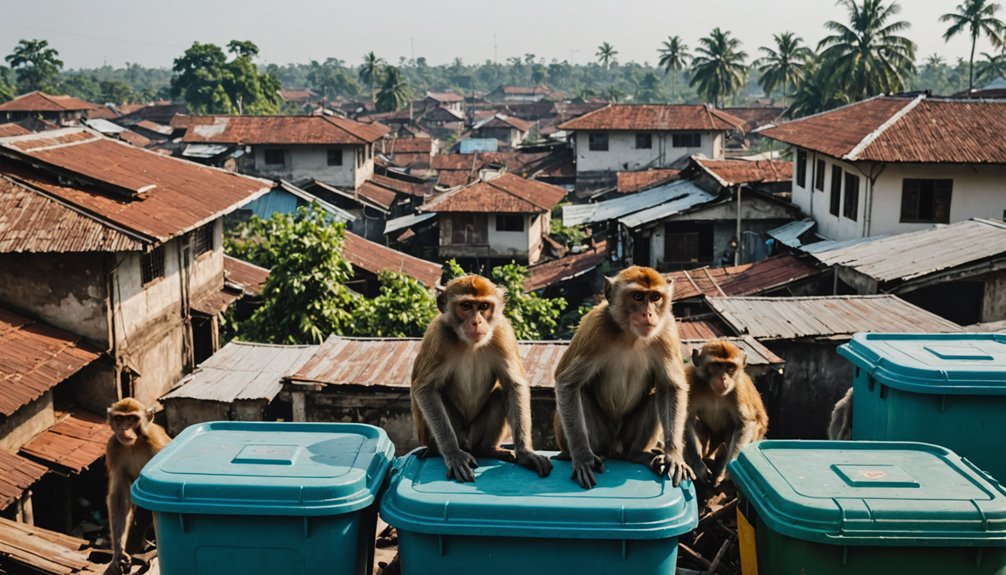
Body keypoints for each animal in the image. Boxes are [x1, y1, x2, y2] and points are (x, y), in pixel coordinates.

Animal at [105, 398, 170, 570]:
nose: (124, 428)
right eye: (119, 419)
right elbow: (120, 496)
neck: (135, 444)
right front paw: (119, 552)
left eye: (132, 419)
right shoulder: (113, 448)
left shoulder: (155, 443)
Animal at [408, 275, 551, 482]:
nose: (476, 322)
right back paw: (437, 450)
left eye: (483, 306)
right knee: (438, 396)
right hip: (457, 434)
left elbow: (513, 386)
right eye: (466, 306)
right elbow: (425, 390)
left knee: (500, 395)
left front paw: (526, 453)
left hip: (475, 434)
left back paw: (488, 450)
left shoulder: (502, 332)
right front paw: (454, 455)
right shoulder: (439, 336)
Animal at [555, 267, 696, 486]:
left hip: (625, 437)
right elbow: (567, 385)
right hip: (602, 436)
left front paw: (673, 456)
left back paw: (636, 454)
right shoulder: (597, 329)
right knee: (581, 396)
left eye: (655, 297)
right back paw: (587, 454)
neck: (632, 336)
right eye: (637, 296)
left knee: (656, 396)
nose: (648, 313)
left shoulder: (666, 330)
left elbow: (670, 388)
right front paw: (582, 457)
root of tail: (614, 447)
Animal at [684, 339, 768, 486]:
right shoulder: (692, 382)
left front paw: (725, 471)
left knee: (734, 427)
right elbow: (683, 418)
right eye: (717, 365)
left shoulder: (737, 388)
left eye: (730, 367)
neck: (712, 391)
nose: (723, 378)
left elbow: (745, 424)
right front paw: (697, 465)